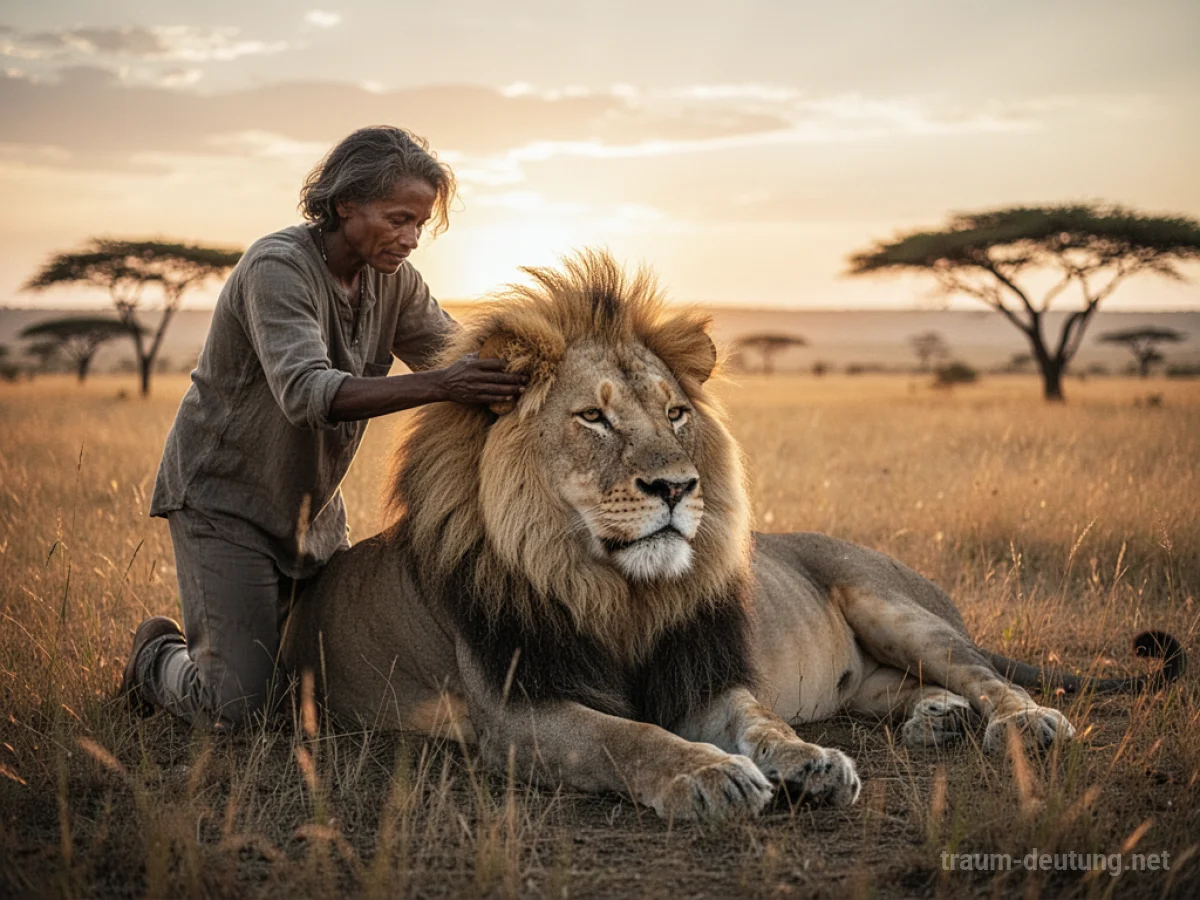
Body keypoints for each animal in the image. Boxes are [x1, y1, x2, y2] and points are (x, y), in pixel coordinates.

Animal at [280, 250, 1185, 823]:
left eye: (676, 413)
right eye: (594, 418)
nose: (677, 487)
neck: (612, 590)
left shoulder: (702, 675)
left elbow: (763, 722)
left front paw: (811, 763)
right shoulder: (516, 711)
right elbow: (624, 737)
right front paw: (711, 776)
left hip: (891, 603)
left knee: (984, 675)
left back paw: (1021, 724)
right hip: (869, 672)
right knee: (906, 688)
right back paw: (938, 721)